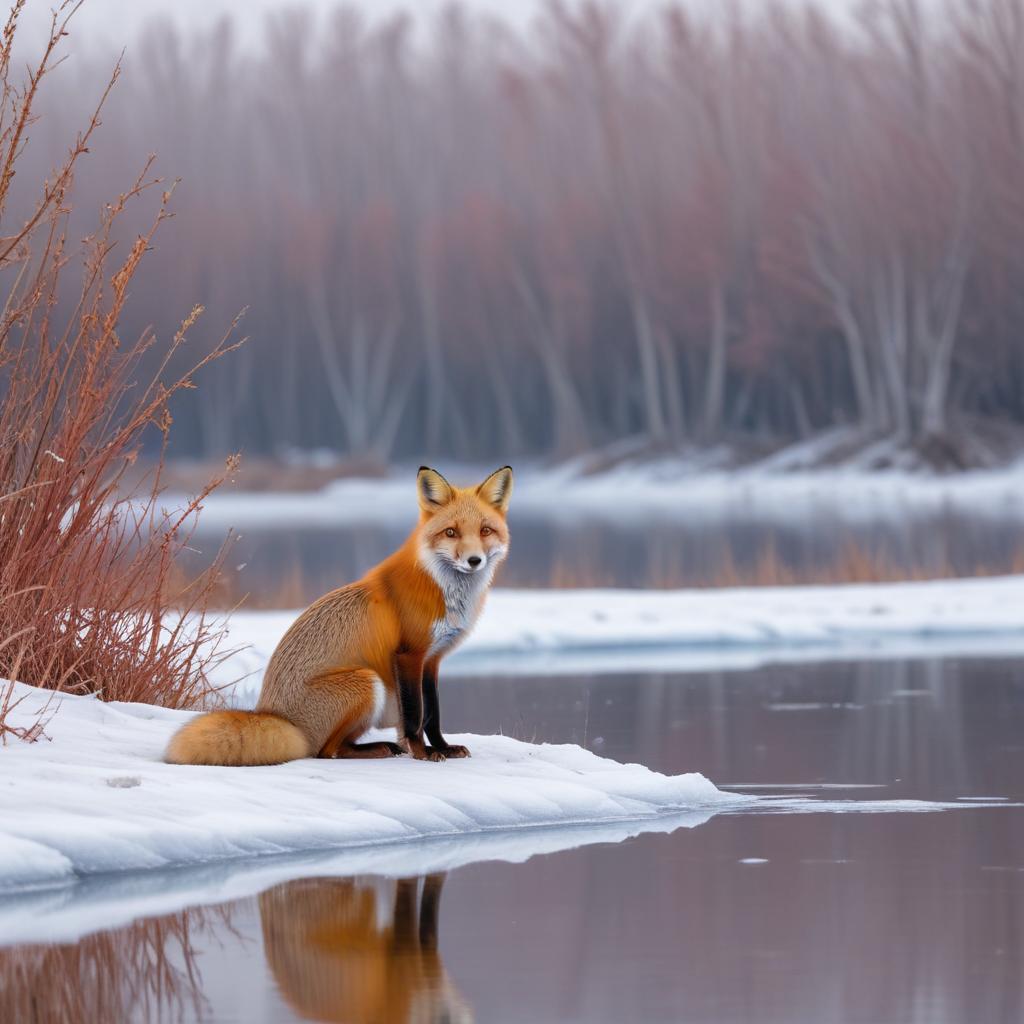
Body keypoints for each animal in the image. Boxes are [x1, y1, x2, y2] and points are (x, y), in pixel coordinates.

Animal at [164, 465, 512, 767]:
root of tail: (275, 715)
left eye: (485, 530)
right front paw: (422, 753)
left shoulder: (433, 659)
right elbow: (415, 715)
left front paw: (442, 747)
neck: (442, 589)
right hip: (366, 681)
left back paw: (384, 746)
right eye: (451, 532)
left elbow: (433, 715)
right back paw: (377, 749)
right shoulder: (409, 655)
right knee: (326, 752)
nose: (474, 560)